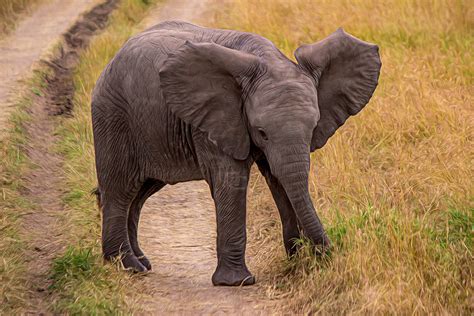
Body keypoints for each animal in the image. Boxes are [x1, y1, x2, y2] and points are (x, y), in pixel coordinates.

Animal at [91, 20, 382, 286]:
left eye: (313, 128)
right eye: (262, 132)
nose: (325, 254)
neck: (266, 59)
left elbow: (279, 180)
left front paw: (297, 260)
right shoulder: (215, 120)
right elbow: (232, 181)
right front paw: (237, 282)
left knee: (139, 194)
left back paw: (141, 263)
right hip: (113, 116)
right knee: (120, 190)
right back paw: (126, 267)